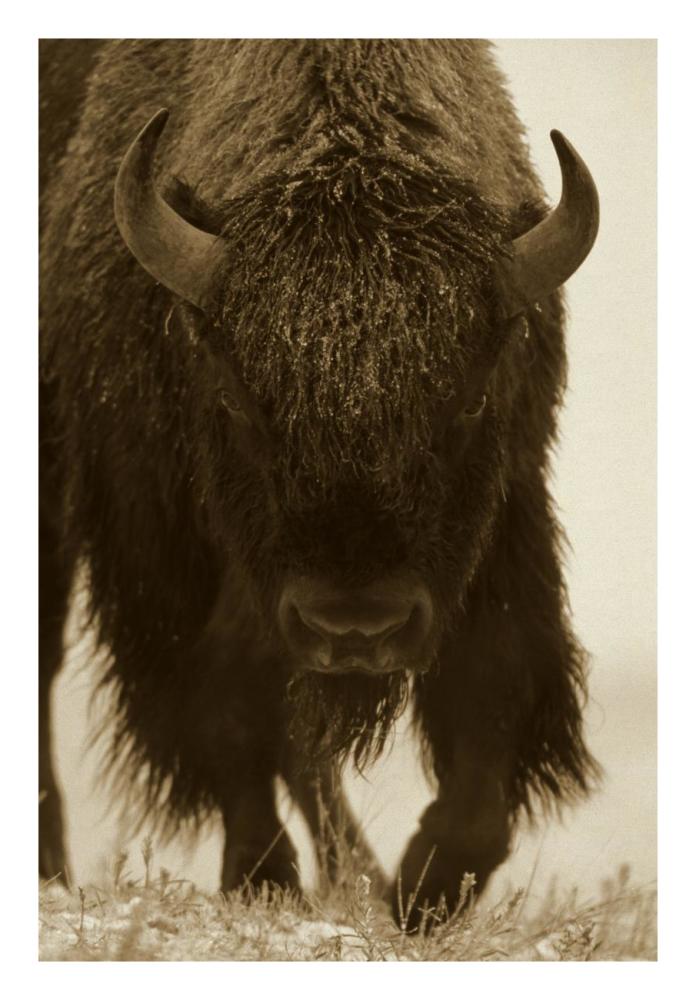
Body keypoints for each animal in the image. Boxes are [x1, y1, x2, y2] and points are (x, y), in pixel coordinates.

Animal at [39, 39, 600, 927]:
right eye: (235, 397)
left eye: (471, 398)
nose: (356, 627)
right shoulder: (164, 544)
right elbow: (227, 702)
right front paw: (261, 876)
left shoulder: (505, 515)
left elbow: (492, 693)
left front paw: (422, 890)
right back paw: (53, 869)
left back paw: (357, 874)